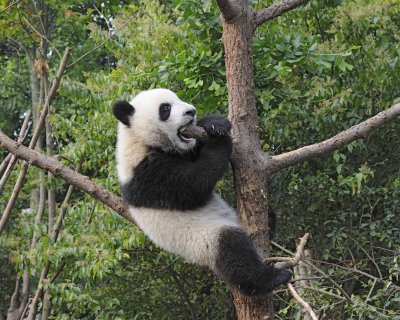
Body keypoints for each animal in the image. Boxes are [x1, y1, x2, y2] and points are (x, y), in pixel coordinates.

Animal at [114, 89, 292, 296]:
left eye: (178, 99)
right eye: (165, 108)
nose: (191, 111)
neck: (138, 139)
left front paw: (214, 123)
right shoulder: (147, 174)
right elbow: (193, 185)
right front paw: (219, 141)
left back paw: (269, 222)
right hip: (204, 241)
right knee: (233, 250)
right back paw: (270, 278)